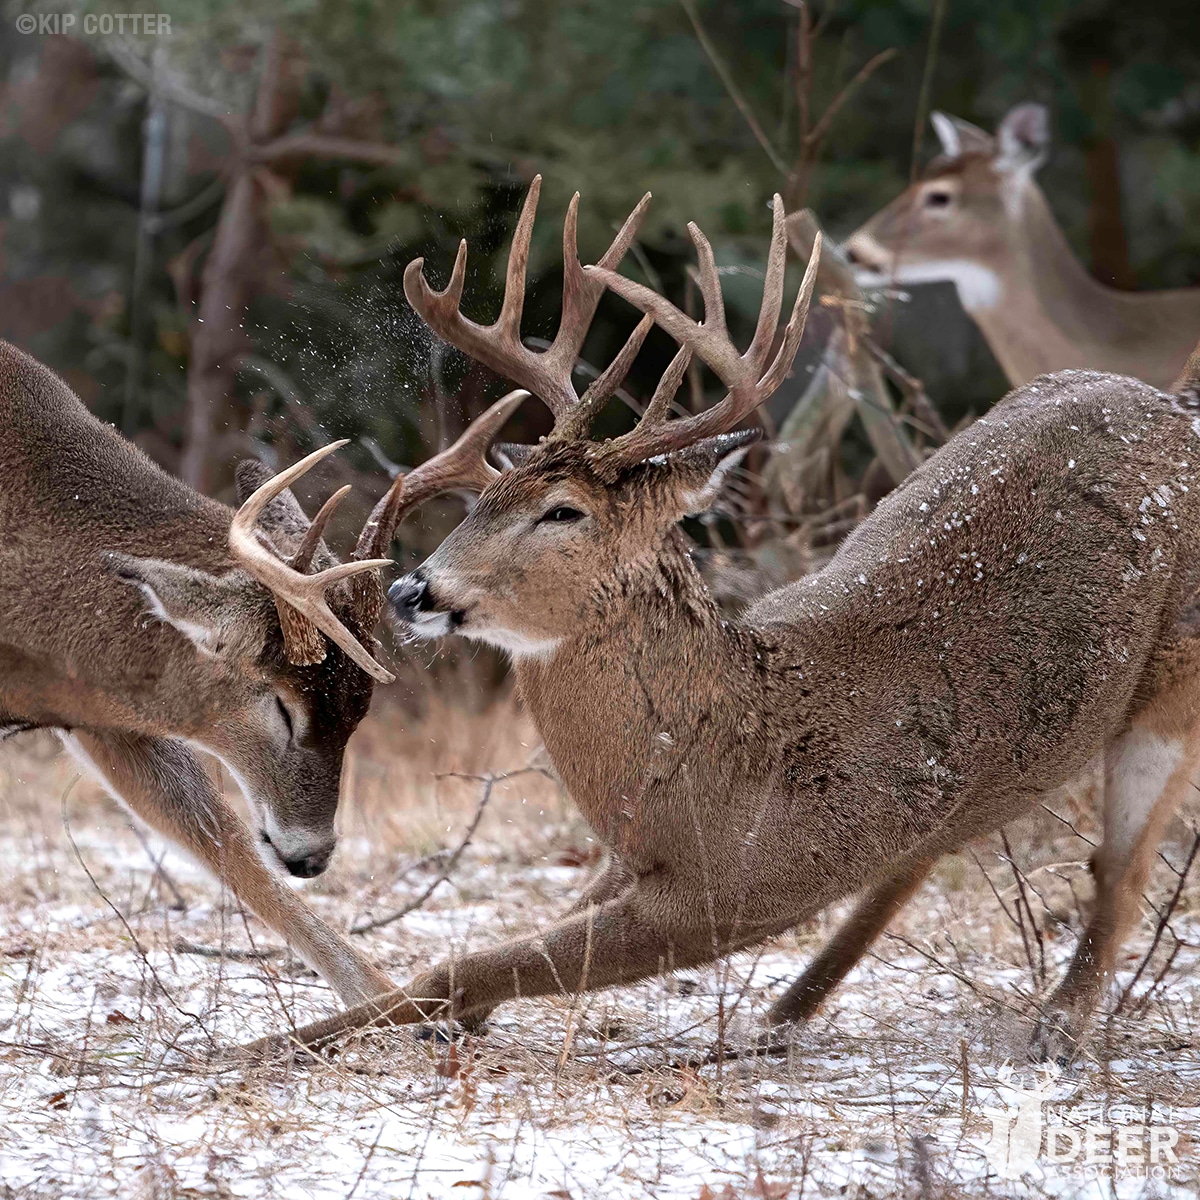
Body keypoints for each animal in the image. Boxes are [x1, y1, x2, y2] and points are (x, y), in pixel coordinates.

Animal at [0, 336, 491, 1012]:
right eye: (283, 706)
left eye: (360, 712)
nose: (313, 857)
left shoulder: (101, 716)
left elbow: (222, 841)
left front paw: (403, 1007)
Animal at [251, 176, 1200, 1065]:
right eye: (485, 496)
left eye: (561, 511)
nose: (413, 591)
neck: (726, 764)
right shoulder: (633, 862)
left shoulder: (731, 895)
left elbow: (465, 965)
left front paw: (260, 1047)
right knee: (931, 851)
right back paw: (782, 1016)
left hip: (1170, 694)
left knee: (1120, 870)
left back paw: (1057, 1031)